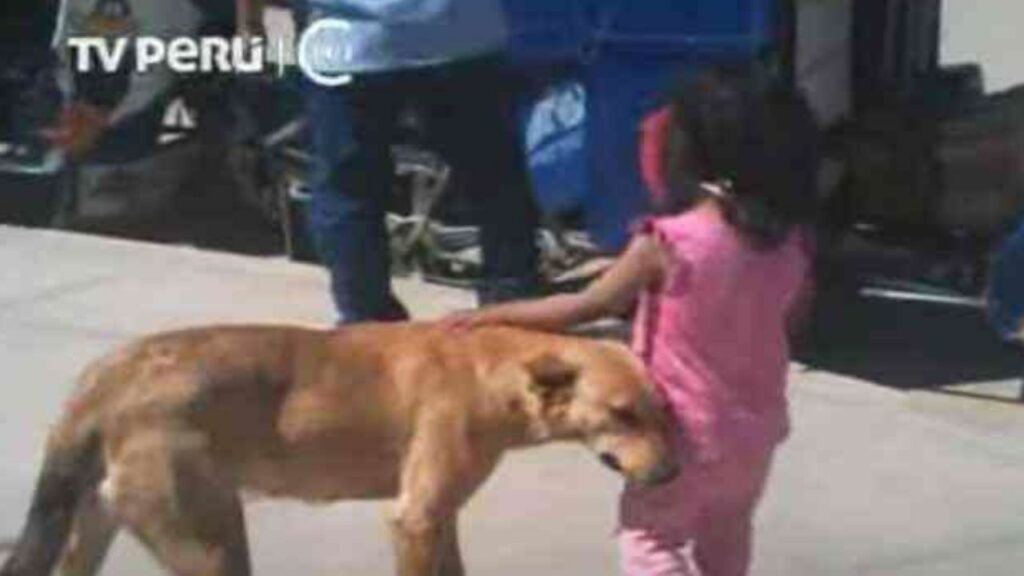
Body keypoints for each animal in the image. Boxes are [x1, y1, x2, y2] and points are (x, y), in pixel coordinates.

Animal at [0, 323, 675, 573]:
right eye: (621, 414)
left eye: (661, 411)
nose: (671, 474)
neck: (487, 368)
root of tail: (102, 381)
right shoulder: (414, 519)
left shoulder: (438, 519)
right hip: (213, 545)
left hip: (96, 528)